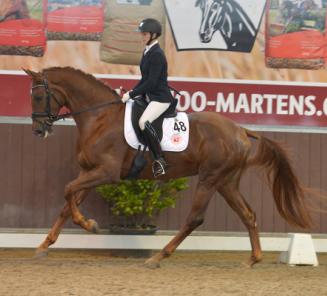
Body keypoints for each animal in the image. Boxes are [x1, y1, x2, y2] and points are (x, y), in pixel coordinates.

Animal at [24, 67, 314, 268]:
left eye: (38, 96)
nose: (38, 130)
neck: (99, 118)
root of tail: (241, 130)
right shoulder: (89, 172)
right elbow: (67, 203)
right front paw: (43, 245)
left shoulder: (106, 173)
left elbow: (67, 191)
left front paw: (89, 225)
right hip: (227, 182)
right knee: (248, 215)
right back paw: (253, 259)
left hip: (210, 179)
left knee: (195, 218)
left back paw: (158, 257)